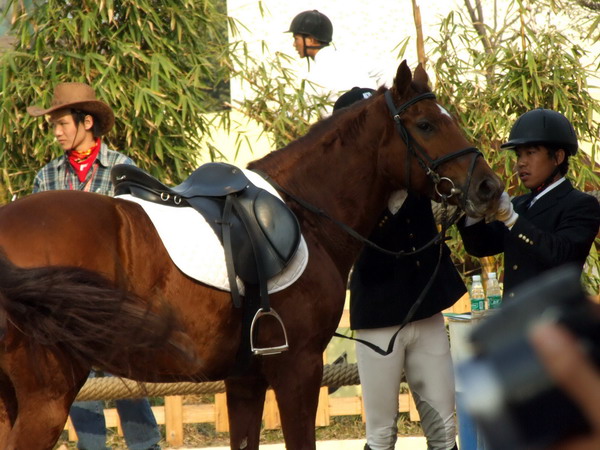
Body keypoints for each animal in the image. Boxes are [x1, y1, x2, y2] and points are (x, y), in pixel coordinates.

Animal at [0, 60, 502, 450]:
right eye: (426, 125)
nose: (489, 187)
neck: (306, 211)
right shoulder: (299, 368)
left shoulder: (244, 379)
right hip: (48, 399)